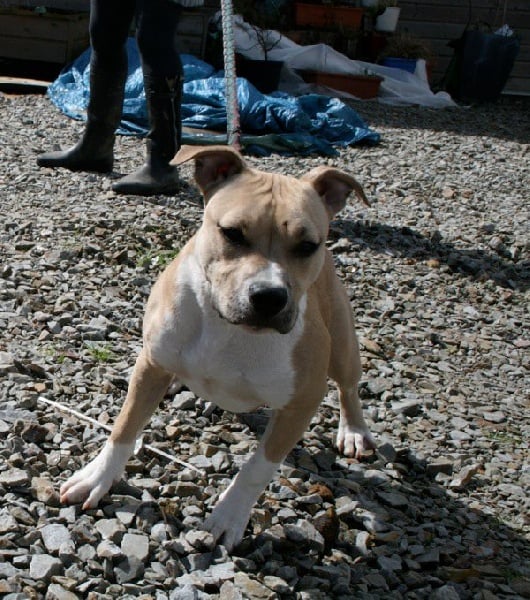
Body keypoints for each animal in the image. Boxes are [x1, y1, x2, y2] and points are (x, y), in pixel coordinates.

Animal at [60, 144, 376, 548]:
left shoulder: (302, 401)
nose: (269, 296)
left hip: (342, 345)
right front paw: (96, 478)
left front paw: (229, 516)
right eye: (232, 233)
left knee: (349, 387)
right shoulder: (151, 365)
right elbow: (124, 427)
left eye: (308, 246)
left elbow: (258, 467)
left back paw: (353, 431)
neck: (229, 326)